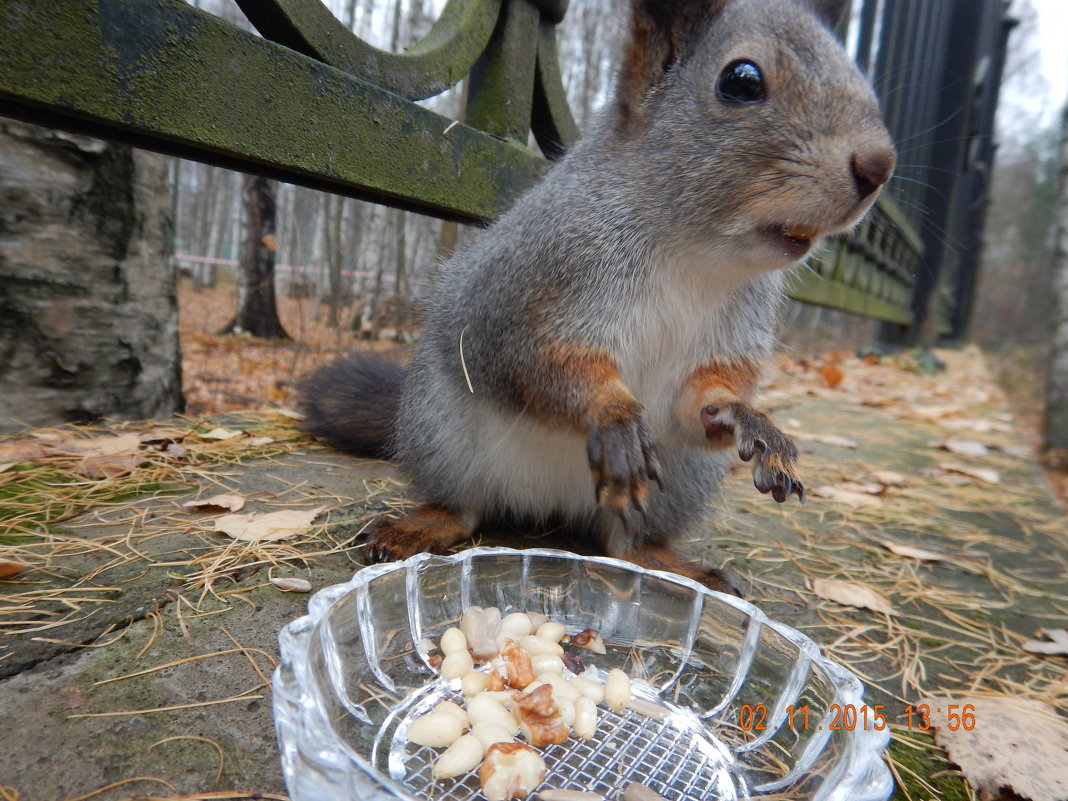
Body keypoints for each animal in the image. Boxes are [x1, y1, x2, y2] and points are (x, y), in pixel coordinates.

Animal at [299, 0, 892, 593]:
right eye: (741, 81)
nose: (879, 166)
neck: (693, 252)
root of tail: (549, 506)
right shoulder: (527, 290)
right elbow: (536, 362)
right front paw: (613, 413)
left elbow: (695, 404)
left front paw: (746, 418)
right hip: (442, 433)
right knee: (464, 507)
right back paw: (422, 524)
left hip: (679, 481)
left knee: (625, 542)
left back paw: (671, 563)